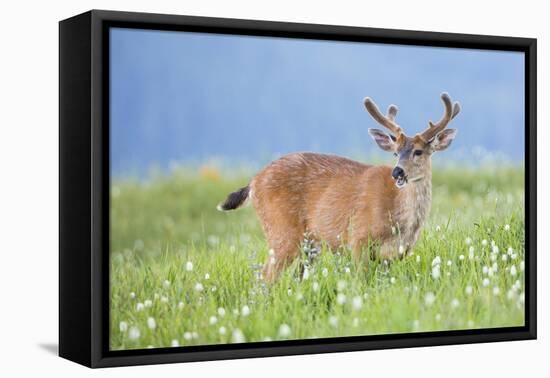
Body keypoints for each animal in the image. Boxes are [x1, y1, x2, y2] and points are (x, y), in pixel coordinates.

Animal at [217, 92, 462, 280]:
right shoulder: (358, 238)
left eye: (418, 151)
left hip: (310, 243)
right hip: (281, 229)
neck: (401, 222)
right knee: (265, 276)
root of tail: (254, 182)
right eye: (395, 153)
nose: (398, 172)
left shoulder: (397, 253)